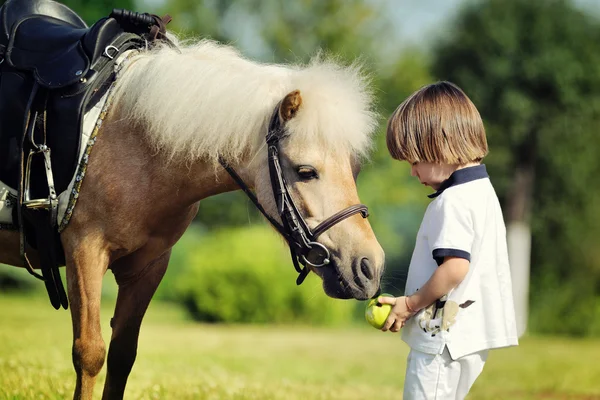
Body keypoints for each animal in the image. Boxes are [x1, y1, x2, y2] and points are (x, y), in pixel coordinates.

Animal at [0, 36, 384, 398]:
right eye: (305, 171)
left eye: (354, 170)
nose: (370, 266)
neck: (132, 144)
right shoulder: (84, 251)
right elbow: (90, 353)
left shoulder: (149, 266)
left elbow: (123, 355)